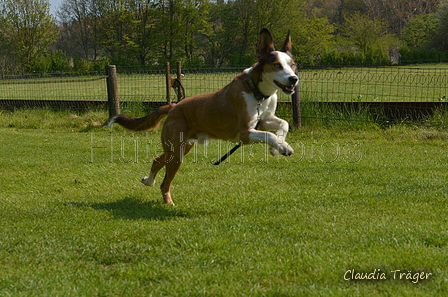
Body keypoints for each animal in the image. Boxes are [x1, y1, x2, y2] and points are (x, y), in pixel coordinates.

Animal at [107, 28, 298, 204]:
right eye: (277, 65)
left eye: (293, 65)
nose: (294, 79)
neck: (257, 91)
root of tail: (174, 107)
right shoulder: (246, 132)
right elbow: (268, 134)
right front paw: (282, 147)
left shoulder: (264, 119)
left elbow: (283, 124)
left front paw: (279, 146)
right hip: (177, 152)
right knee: (165, 182)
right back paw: (168, 202)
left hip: (182, 147)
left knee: (157, 160)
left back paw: (148, 181)